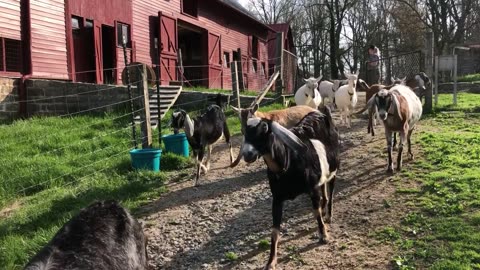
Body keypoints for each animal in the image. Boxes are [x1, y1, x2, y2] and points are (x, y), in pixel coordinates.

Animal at [242, 108, 340, 270]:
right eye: (244, 130)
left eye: (264, 128)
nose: (247, 154)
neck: (287, 161)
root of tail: (321, 113)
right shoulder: (277, 198)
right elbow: (274, 231)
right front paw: (271, 262)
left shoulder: (312, 188)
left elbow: (316, 213)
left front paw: (324, 235)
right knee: (324, 190)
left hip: (334, 169)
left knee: (330, 191)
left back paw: (329, 216)